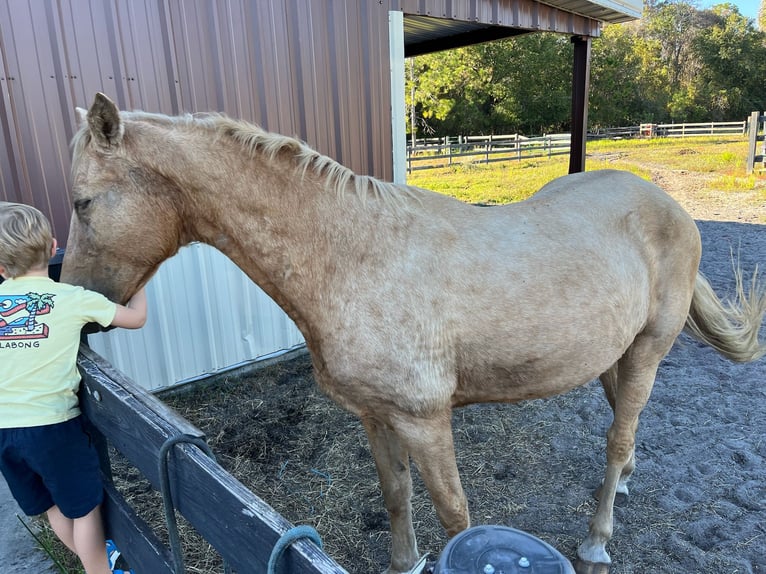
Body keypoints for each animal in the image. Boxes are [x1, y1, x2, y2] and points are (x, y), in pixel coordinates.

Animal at [61, 93, 766, 574]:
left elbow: (455, 514)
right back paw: (619, 485)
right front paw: (406, 561)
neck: (354, 257)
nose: (81, 309)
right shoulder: (376, 415)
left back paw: (597, 537)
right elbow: (396, 496)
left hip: (648, 348)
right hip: (611, 355)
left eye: (82, 202)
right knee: (625, 419)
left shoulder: (426, 419)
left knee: (619, 436)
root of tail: (668, 206)